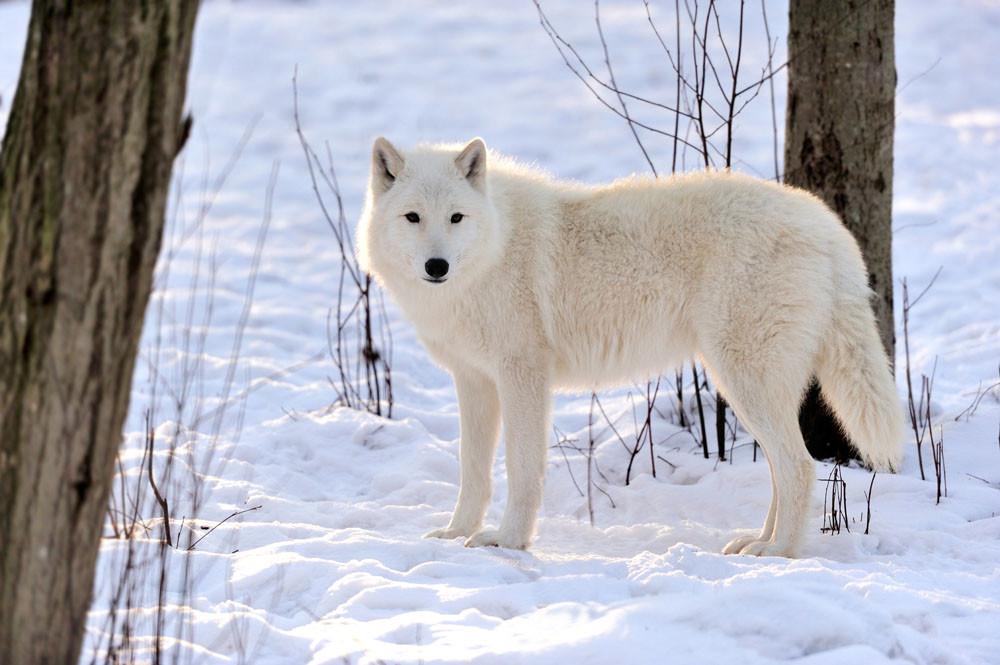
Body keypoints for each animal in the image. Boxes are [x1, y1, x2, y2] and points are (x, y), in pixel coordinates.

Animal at [356, 136, 904, 556]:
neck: (496, 246)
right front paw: (457, 534)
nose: (437, 266)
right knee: (784, 470)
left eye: (455, 218)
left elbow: (522, 467)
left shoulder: (522, 376)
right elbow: (472, 470)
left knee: (800, 467)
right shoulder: (473, 381)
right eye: (412, 217)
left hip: (744, 382)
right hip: (749, 387)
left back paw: (778, 553)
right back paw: (757, 541)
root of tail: (828, 226)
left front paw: (508, 543)